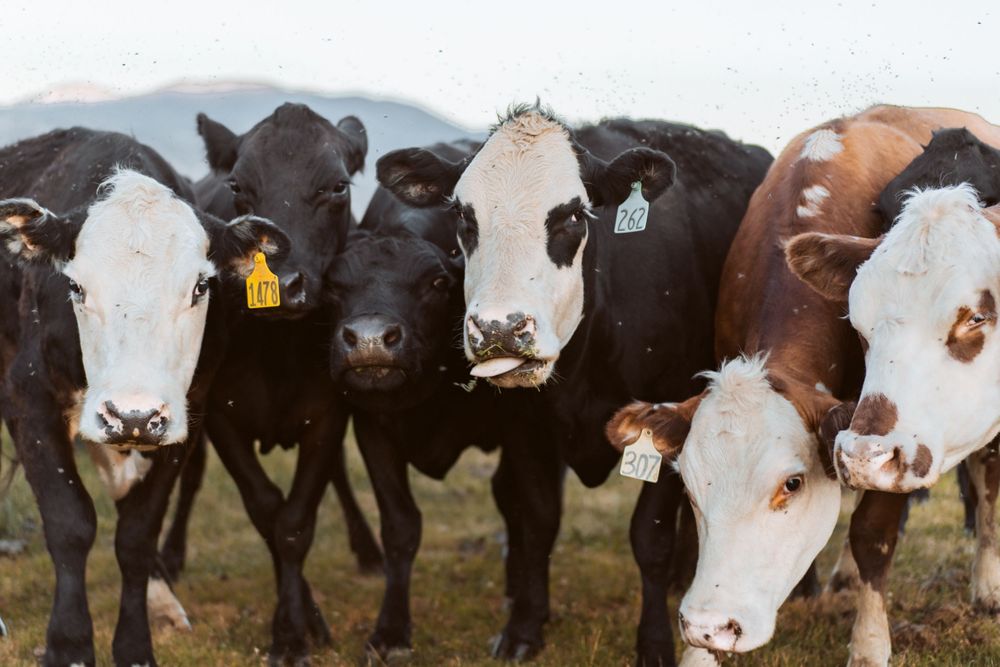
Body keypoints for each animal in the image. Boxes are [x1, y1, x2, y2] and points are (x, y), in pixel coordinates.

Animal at [0, 127, 286, 666]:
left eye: (201, 287)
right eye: (74, 285)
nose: (132, 415)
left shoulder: (186, 416)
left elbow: (137, 531)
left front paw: (135, 643)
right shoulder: (29, 400)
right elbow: (70, 522)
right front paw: (69, 645)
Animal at [161, 103, 378, 663]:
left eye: (337, 186)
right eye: (238, 185)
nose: (282, 283)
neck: (279, 353)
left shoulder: (328, 412)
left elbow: (295, 523)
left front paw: (298, 630)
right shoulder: (218, 412)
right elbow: (266, 510)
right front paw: (294, 629)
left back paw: (368, 548)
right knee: (190, 477)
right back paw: (171, 554)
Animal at [376, 104, 772, 665]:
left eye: (571, 217)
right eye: (464, 218)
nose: (499, 329)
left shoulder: (669, 409)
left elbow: (649, 538)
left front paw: (654, 641)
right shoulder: (525, 426)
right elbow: (539, 520)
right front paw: (524, 627)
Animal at [606, 106, 1000, 666]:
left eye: (791, 484)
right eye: (689, 485)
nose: (709, 625)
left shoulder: (888, 442)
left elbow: (873, 534)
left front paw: (869, 644)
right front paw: (698, 654)